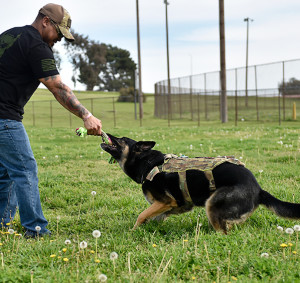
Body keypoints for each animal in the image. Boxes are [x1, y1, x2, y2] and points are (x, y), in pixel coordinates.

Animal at [101, 134, 300, 234]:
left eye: (121, 139)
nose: (107, 134)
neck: (145, 162)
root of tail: (259, 190)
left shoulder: (165, 202)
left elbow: (141, 215)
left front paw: (133, 231)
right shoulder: (169, 206)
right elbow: (152, 218)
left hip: (212, 203)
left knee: (223, 231)